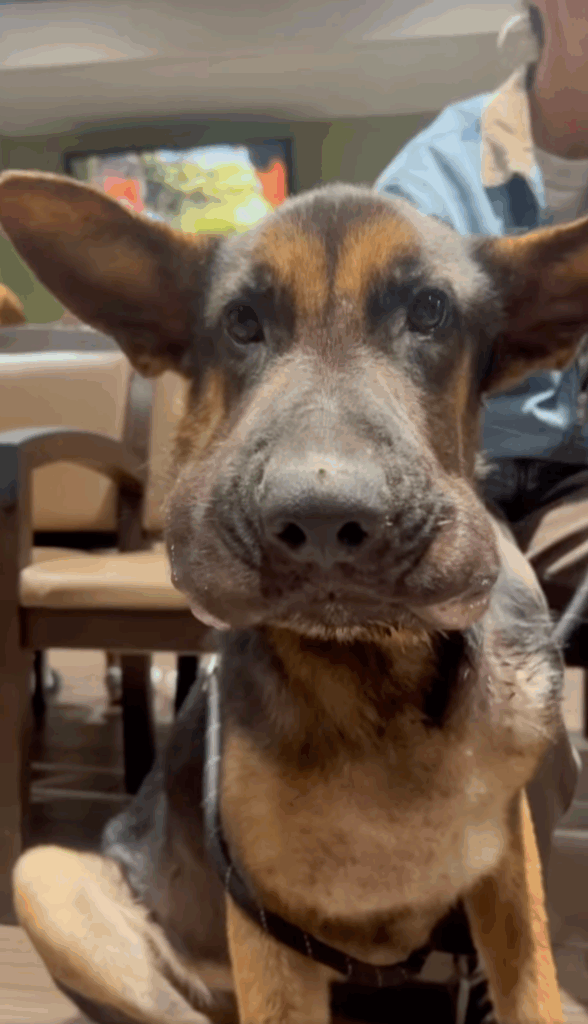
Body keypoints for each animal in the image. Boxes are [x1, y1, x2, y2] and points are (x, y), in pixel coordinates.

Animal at [1, 170, 586, 1024]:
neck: (379, 676)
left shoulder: (508, 880)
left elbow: (533, 994)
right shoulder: (270, 930)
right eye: (241, 322)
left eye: (430, 311)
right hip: (45, 876)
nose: (320, 523)